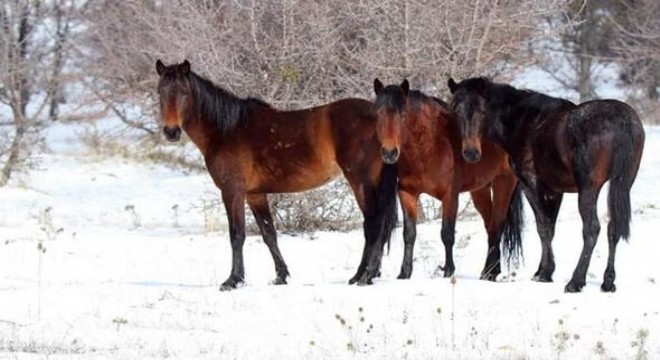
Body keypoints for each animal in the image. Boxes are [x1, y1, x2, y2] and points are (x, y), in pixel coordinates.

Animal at [153, 59, 398, 290]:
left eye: (184, 93)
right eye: (160, 92)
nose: (171, 132)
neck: (226, 131)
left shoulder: (232, 191)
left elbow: (237, 235)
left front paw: (233, 280)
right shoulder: (255, 195)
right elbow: (268, 233)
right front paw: (281, 276)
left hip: (361, 182)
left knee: (373, 224)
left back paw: (365, 276)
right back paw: (362, 275)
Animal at [368, 79, 524, 282]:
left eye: (403, 115)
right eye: (378, 114)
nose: (389, 153)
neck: (429, 147)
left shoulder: (450, 196)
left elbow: (447, 234)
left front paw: (448, 271)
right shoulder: (407, 193)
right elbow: (409, 233)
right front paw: (404, 273)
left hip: (503, 183)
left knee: (497, 226)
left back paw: (489, 273)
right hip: (480, 190)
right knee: (490, 226)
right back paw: (490, 271)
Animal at [448, 76, 644, 292]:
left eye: (482, 111)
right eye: (455, 110)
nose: (471, 153)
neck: (523, 123)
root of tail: (622, 121)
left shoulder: (530, 184)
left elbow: (543, 227)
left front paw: (544, 273)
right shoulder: (554, 191)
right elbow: (551, 228)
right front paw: (544, 270)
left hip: (588, 189)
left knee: (592, 229)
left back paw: (576, 281)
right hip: (622, 184)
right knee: (613, 228)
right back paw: (608, 281)